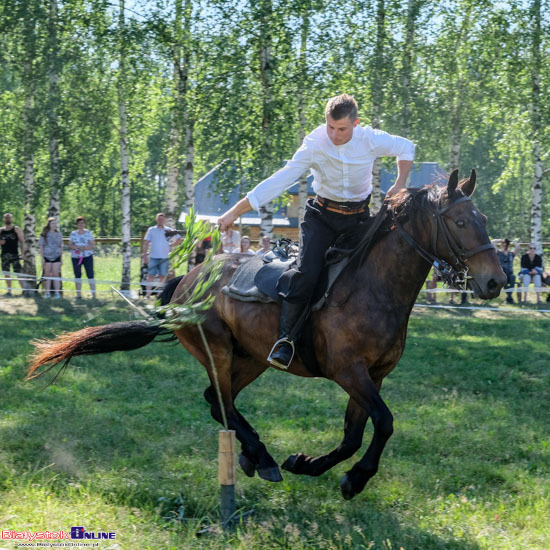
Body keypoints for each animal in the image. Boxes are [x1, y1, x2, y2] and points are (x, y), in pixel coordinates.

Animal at [28, 170, 506, 502]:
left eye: (483, 219)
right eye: (460, 221)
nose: (495, 282)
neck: (373, 287)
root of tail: (187, 280)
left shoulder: (372, 376)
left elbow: (355, 433)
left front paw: (309, 464)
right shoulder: (349, 371)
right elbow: (384, 423)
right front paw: (353, 479)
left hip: (252, 359)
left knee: (217, 403)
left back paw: (255, 457)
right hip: (218, 350)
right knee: (221, 402)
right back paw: (263, 457)